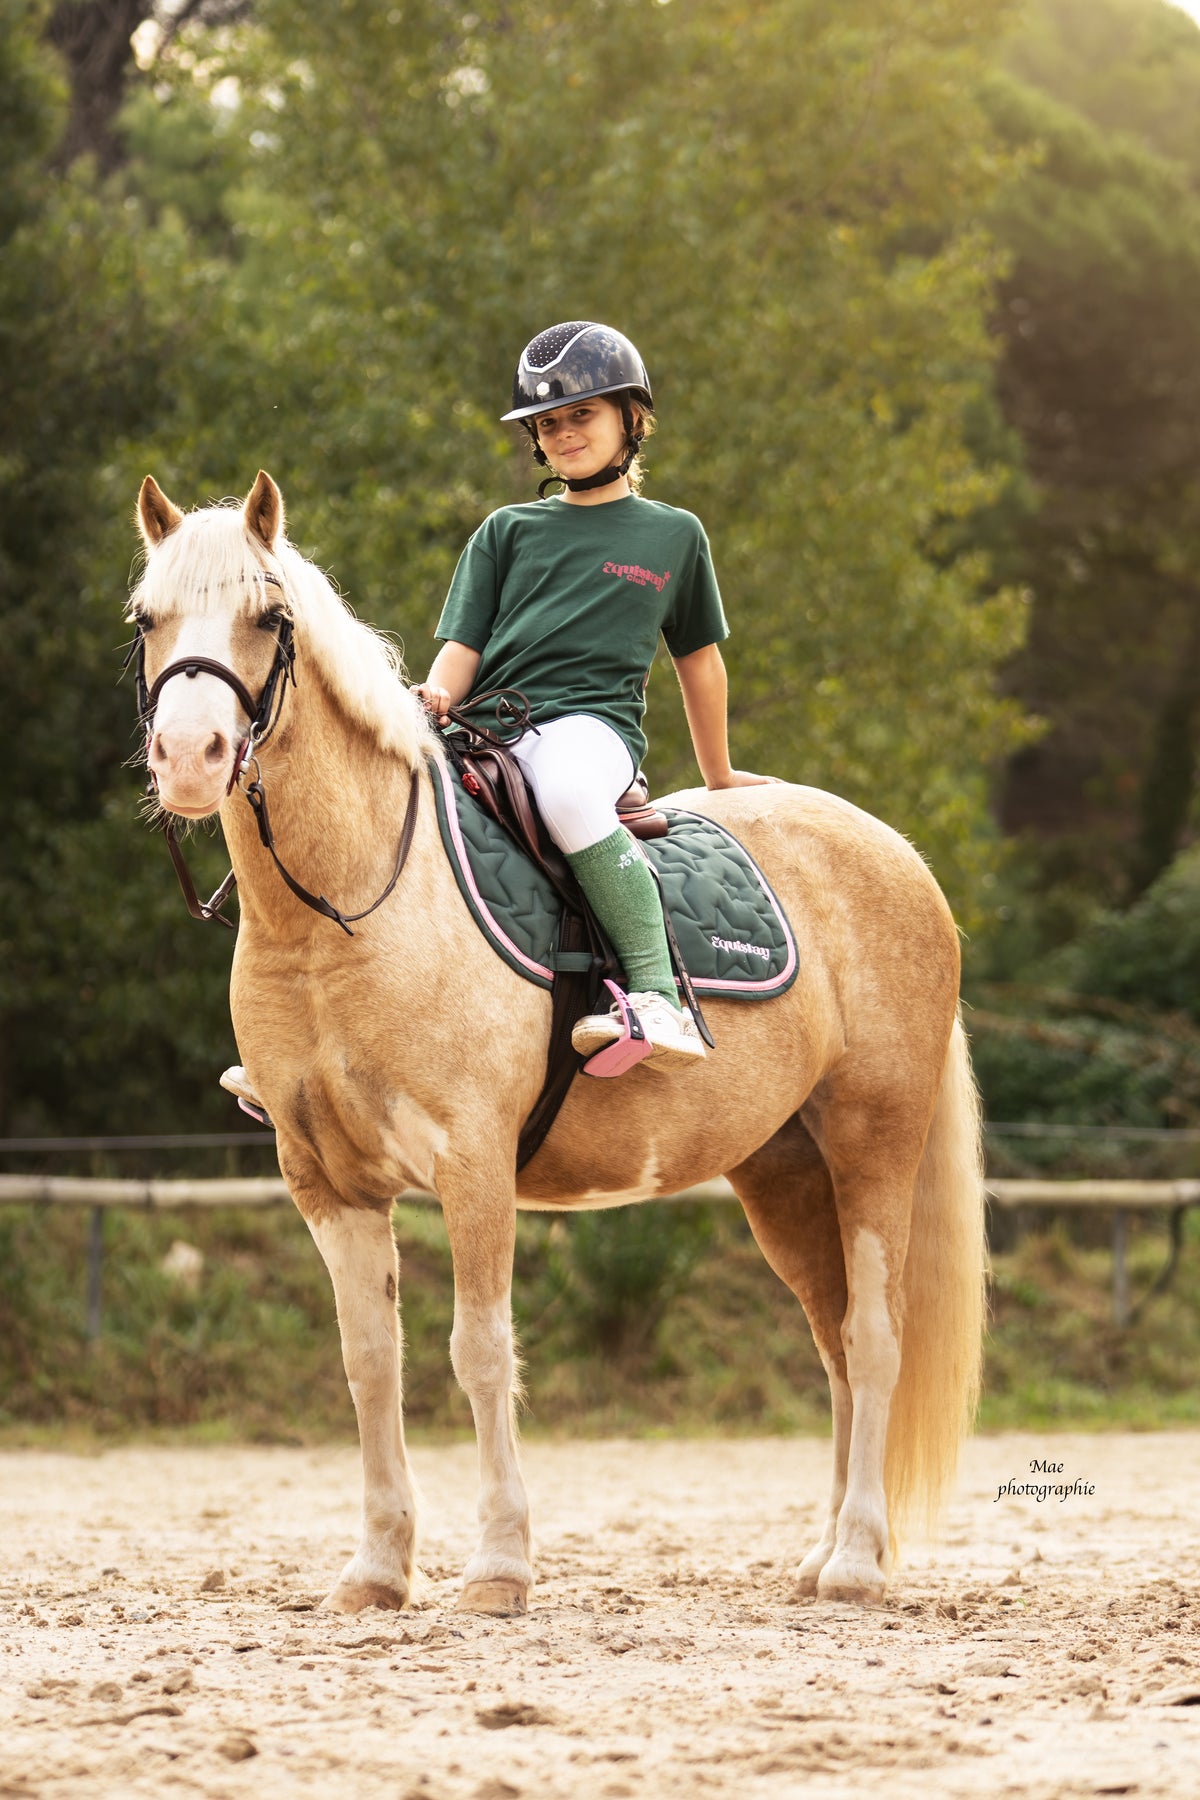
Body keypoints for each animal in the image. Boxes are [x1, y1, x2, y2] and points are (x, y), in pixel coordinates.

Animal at [128, 469, 985, 1617]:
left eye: (270, 619)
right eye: (147, 619)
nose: (189, 758)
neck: (347, 910)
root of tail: (896, 855)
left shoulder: (473, 1166)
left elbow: (480, 1352)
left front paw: (498, 1567)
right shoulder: (326, 1183)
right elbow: (370, 1362)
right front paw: (378, 1569)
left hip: (872, 1146)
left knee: (876, 1336)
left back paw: (855, 1563)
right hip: (784, 1172)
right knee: (837, 1342)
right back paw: (823, 1557)